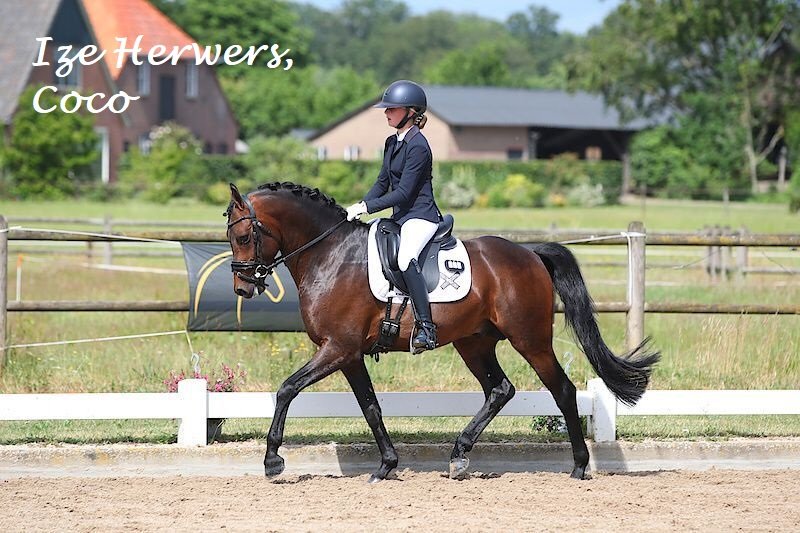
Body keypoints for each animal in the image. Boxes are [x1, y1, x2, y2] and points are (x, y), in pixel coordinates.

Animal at [225, 181, 660, 483]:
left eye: (244, 236)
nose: (243, 289)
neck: (329, 255)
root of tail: (530, 253)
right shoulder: (348, 355)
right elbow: (371, 408)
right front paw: (386, 465)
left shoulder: (337, 348)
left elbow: (286, 388)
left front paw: (272, 460)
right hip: (474, 343)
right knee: (500, 390)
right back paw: (459, 456)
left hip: (530, 340)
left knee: (563, 391)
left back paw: (579, 467)